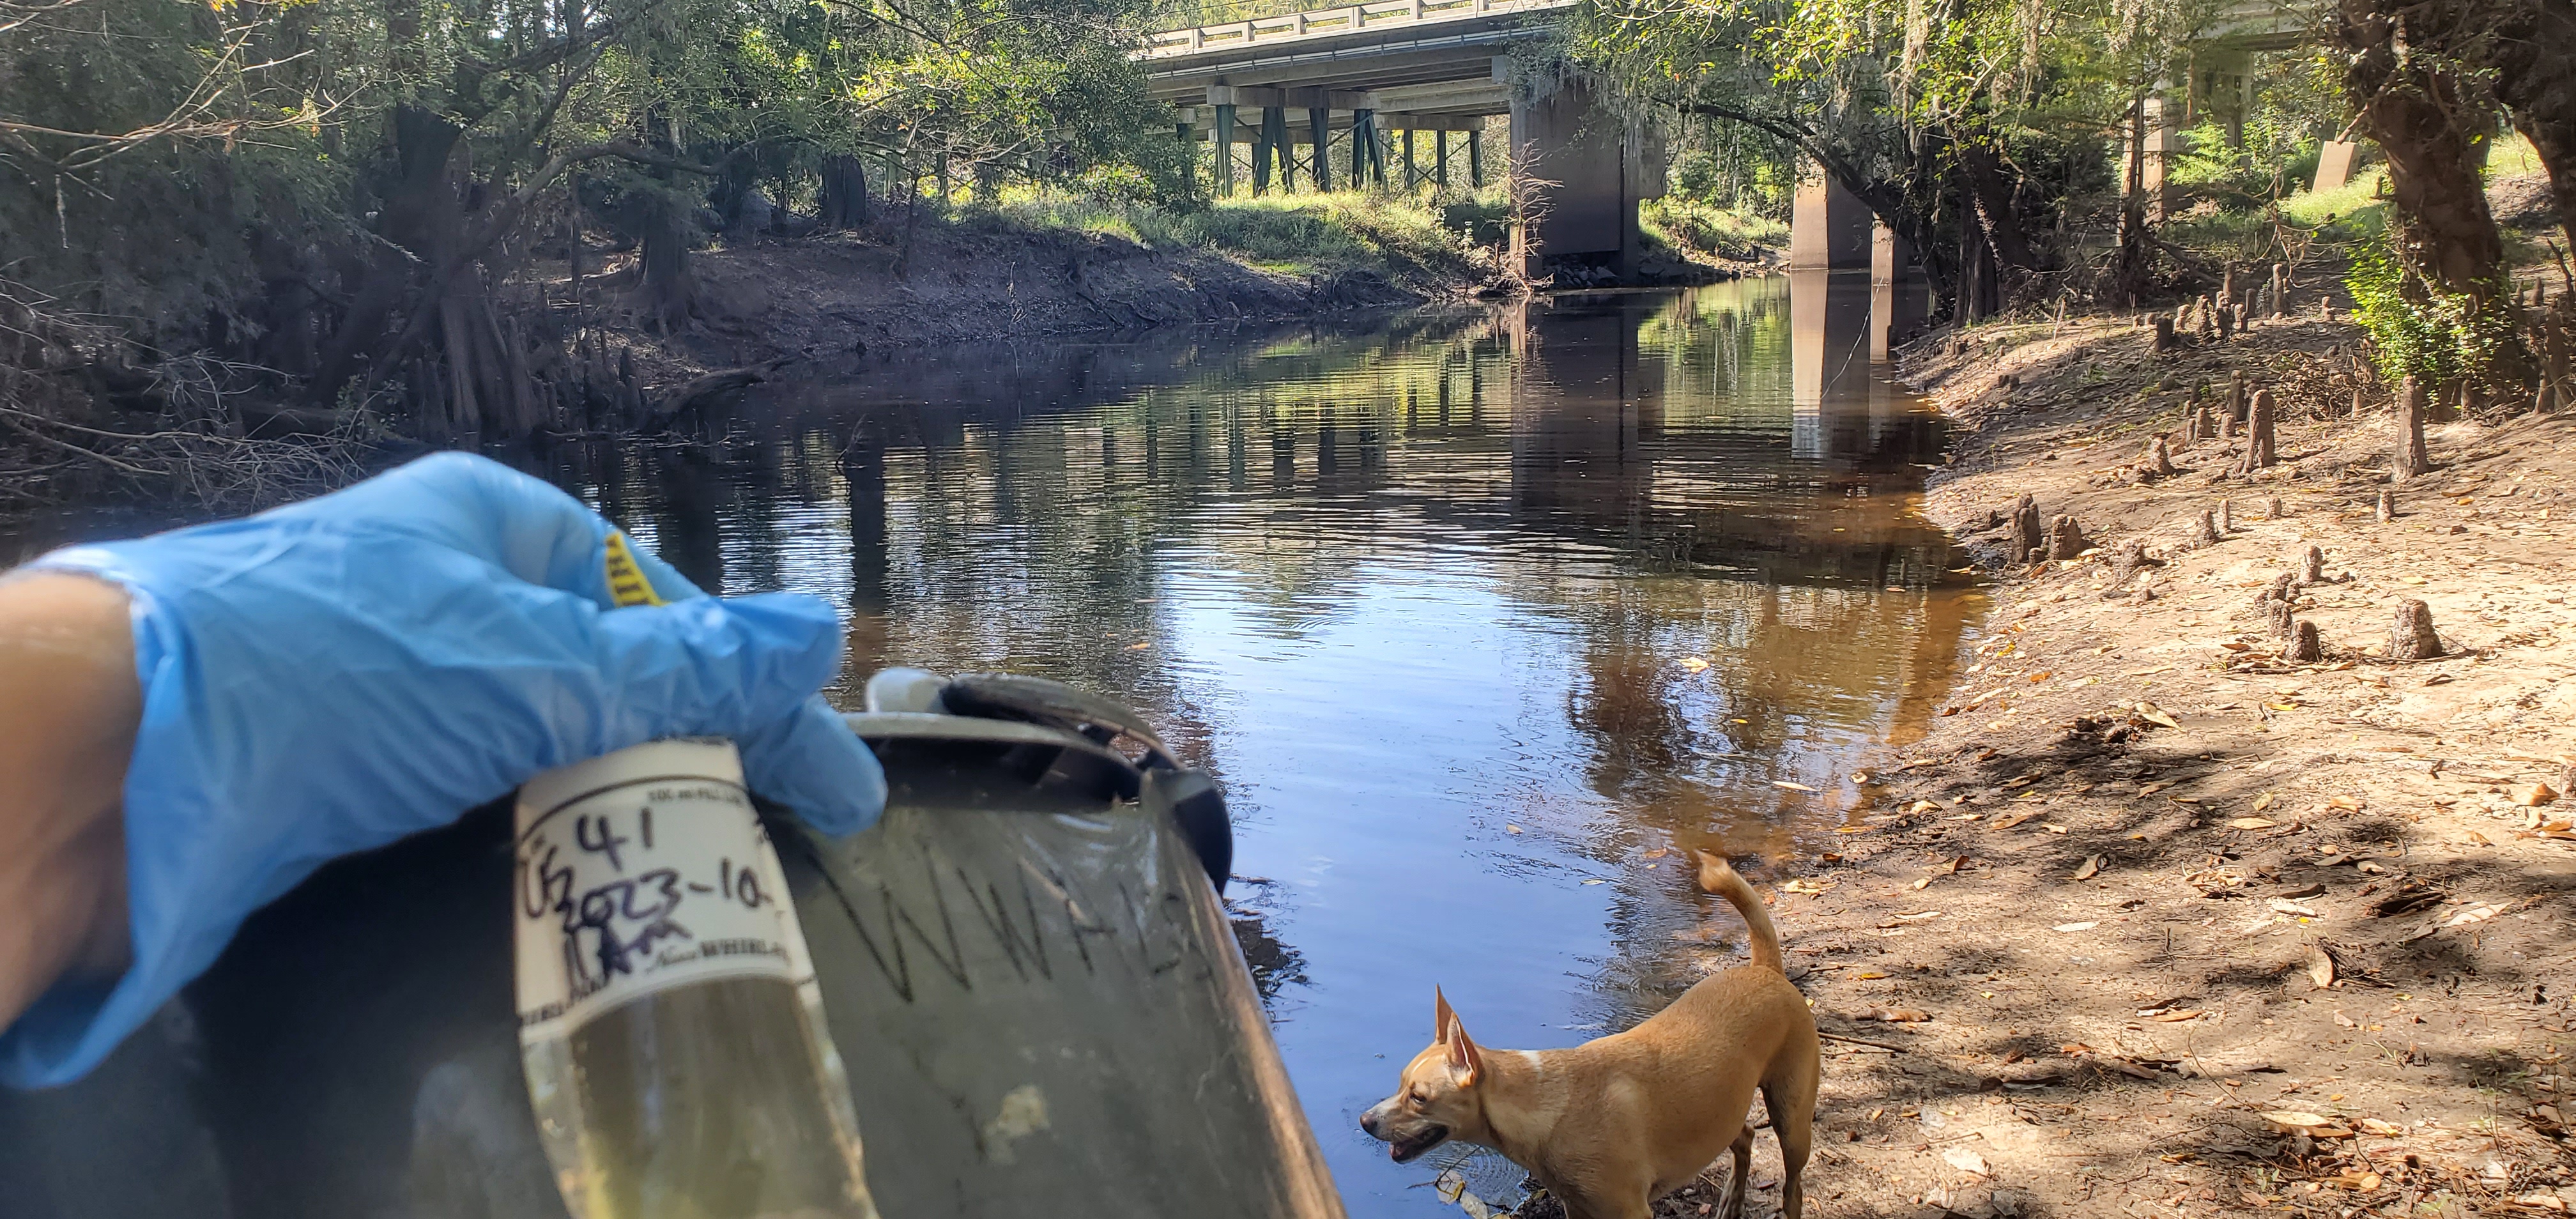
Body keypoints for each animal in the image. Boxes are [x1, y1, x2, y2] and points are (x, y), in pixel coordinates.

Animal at [1360, 850, 1823, 1216]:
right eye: (1400, 1084)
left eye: (1419, 1098)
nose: (1365, 1121)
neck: (1548, 1108)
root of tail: (1765, 968)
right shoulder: (1578, 1208)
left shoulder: (1630, 1211)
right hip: (1725, 1112)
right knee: (1744, 1135)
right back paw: (1731, 1199)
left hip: (1792, 1120)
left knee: (1792, 1185)